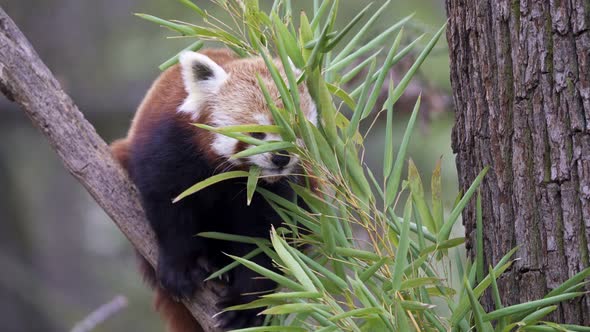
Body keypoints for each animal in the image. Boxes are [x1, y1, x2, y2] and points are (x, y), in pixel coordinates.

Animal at [113, 48, 322, 330]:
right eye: (257, 133)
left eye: (295, 130)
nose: (281, 158)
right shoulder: (168, 147)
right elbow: (169, 209)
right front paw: (182, 267)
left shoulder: (277, 188)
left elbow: (265, 240)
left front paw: (244, 306)